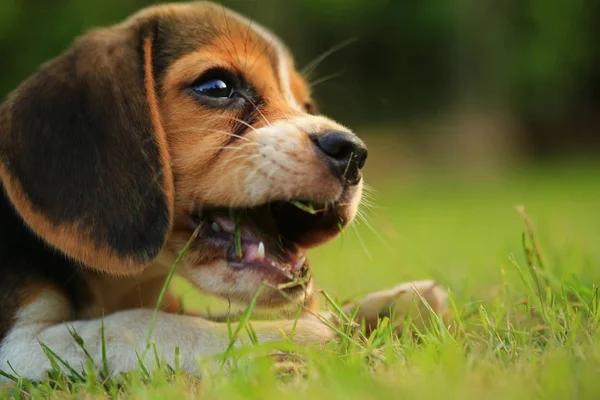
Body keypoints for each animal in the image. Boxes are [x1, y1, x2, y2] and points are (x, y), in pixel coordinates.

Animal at [0, 1, 448, 380]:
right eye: (217, 86)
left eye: (305, 106)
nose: (354, 154)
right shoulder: (19, 349)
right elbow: (137, 327)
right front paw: (304, 333)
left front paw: (388, 306)